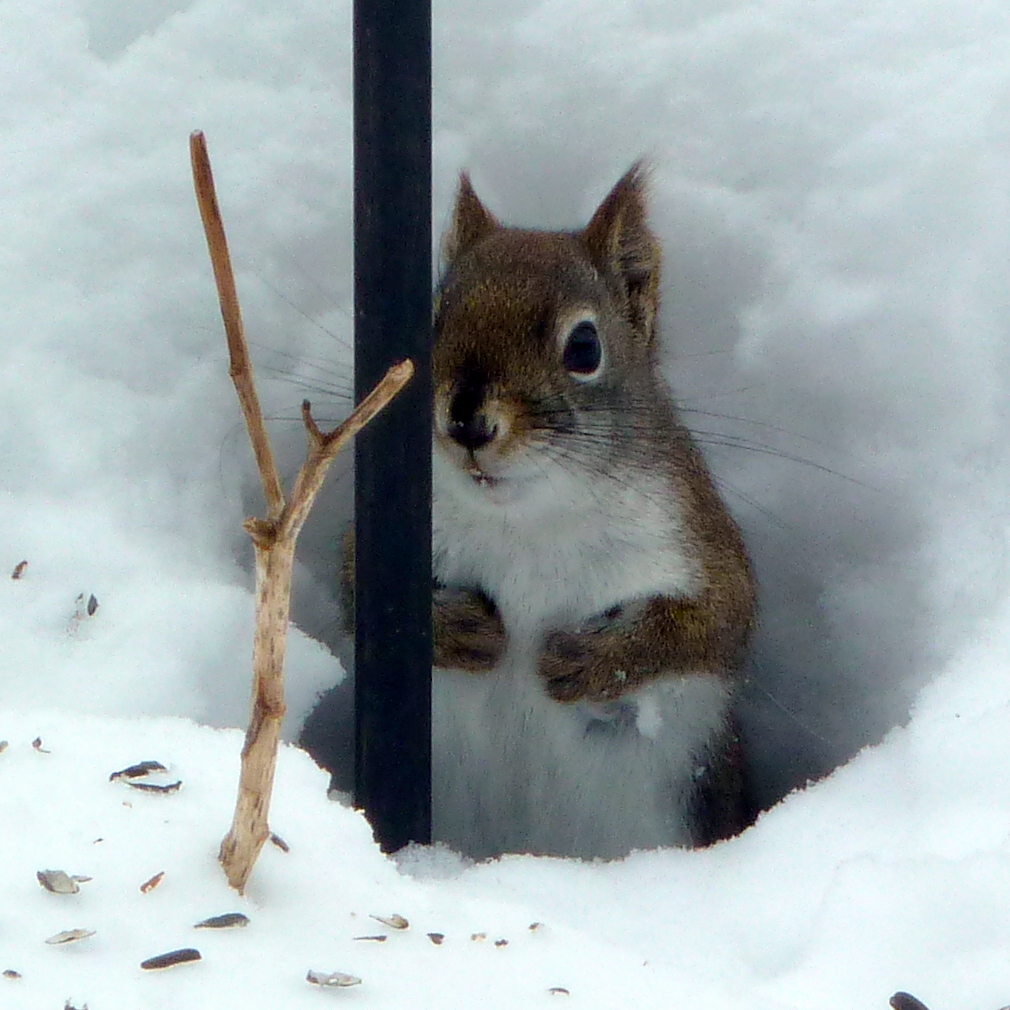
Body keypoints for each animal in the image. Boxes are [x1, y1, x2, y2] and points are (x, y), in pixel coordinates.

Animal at [339, 164, 756, 859]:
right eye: (428, 320)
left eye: (585, 347)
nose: (467, 422)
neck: (527, 522)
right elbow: (355, 595)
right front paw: (457, 628)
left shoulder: (701, 543)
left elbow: (714, 625)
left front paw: (589, 661)